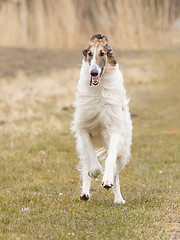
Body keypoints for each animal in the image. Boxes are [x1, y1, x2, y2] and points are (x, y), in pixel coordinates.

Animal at [71, 33, 132, 202]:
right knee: (87, 163)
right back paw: (85, 193)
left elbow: (110, 161)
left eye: (102, 53)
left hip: (123, 150)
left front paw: (107, 180)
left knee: (116, 173)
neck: (98, 90)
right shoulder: (84, 128)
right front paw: (95, 173)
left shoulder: (114, 129)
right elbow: (93, 162)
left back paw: (118, 197)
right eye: (89, 54)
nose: (93, 73)